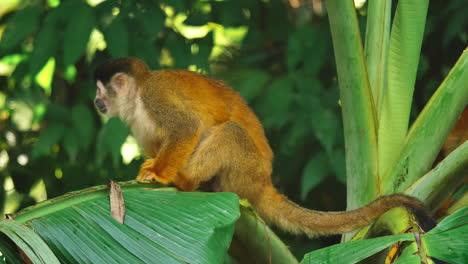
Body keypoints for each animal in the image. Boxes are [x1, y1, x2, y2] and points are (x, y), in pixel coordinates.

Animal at [93, 57, 436, 235]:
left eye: (100, 90)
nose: (96, 101)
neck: (137, 98)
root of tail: (264, 181)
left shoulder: (155, 95)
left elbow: (186, 128)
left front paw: (161, 174)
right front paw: (153, 167)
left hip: (247, 169)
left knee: (231, 133)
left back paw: (186, 180)